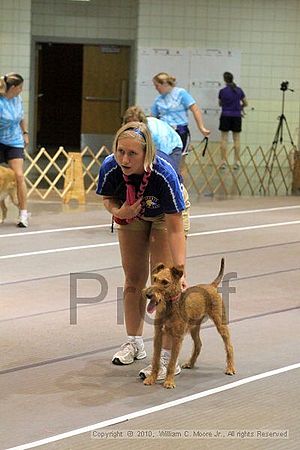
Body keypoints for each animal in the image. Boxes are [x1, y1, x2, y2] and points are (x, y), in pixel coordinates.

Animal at [142, 258, 236, 388]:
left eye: (165, 282)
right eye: (154, 278)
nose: (148, 294)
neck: (170, 306)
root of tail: (211, 286)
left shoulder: (177, 338)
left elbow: (171, 363)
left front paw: (169, 381)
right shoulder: (158, 336)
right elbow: (155, 360)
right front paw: (151, 378)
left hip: (220, 323)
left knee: (229, 346)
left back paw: (230, 368)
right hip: (194, 327)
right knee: (198, 344)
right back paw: (190, 363)